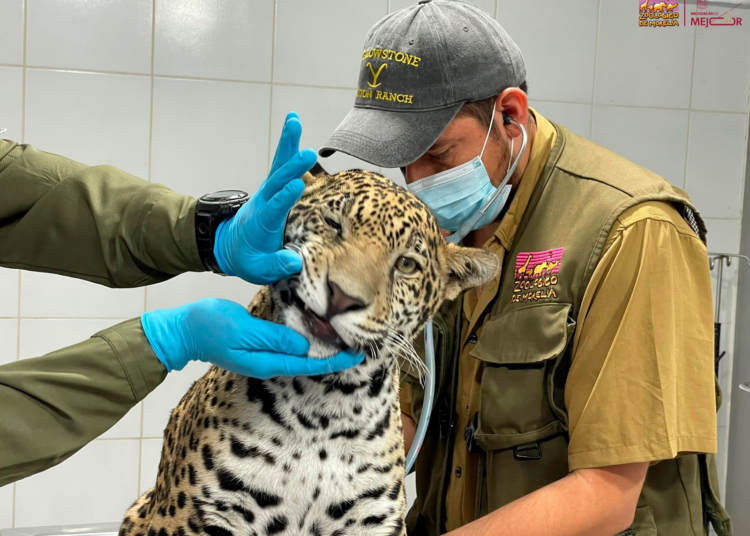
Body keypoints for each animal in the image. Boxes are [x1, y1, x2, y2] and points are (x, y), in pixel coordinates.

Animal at [120, 164, 499, 536]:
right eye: (333, 224)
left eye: (407, 265)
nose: (343, 296)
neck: (325, 408)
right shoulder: (199, 517)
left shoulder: (374, 521)